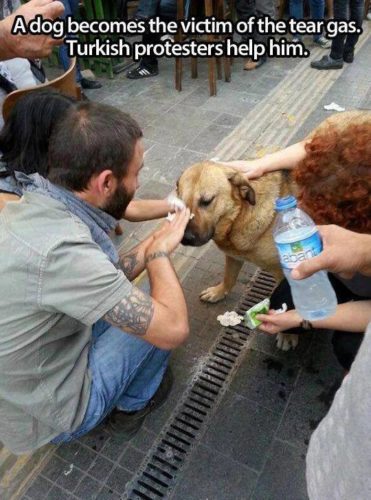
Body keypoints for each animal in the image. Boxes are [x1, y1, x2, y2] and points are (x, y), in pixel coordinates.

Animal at [178, 162, 300, 350]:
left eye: (206, 201)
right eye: (181, 204)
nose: (185, 238)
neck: (240, 215)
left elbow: (290, 302)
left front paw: (288, 333)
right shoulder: (233, 255)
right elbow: (229, 277)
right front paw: (218, 292)